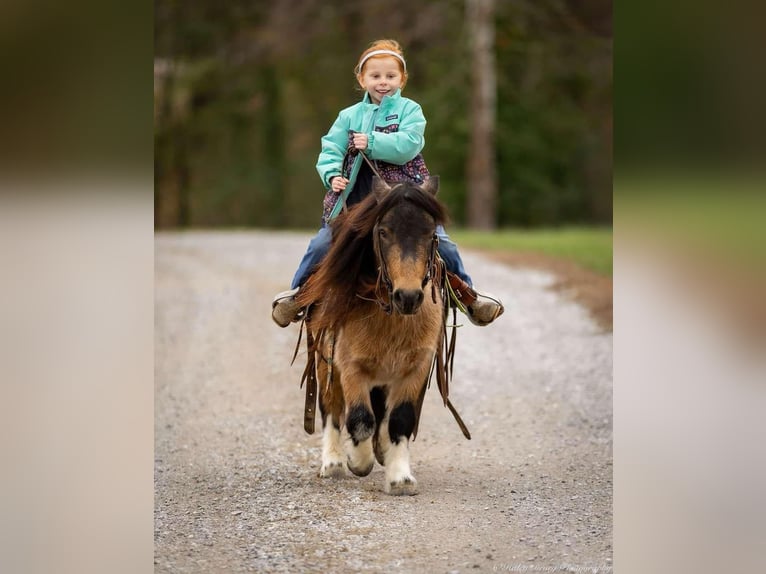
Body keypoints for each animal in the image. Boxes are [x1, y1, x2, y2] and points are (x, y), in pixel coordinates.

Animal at [298, 178, 468, 498]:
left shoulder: (415, 369)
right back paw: (334, 463)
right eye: (383, 231)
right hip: (325, 361)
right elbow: (360, 418)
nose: (408, 297)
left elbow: (400, 420)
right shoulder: (351, 367)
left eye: (431, 234)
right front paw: (358, 461)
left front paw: (400, 477)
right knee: (332, 408)